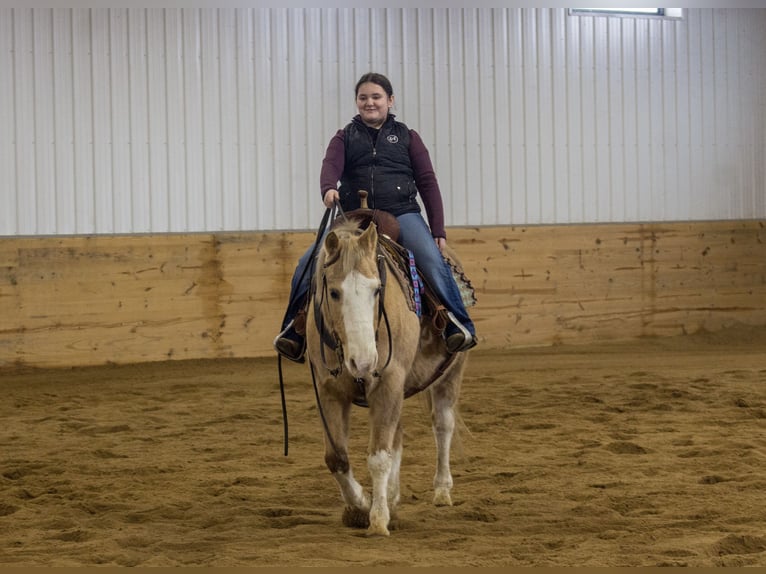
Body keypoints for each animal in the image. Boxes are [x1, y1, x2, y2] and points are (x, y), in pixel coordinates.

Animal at [306, 217, 468, 540]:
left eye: (376, 289)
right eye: (334, 292)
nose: (364, 362)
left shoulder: (388, 383)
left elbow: (379, 456)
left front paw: (378, 519)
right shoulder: (328, 391)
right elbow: (337, 458)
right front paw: (359, 507)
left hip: (450, 374)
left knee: (443, 426)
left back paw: (442, 490)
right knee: (398, 437)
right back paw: (392, 497)